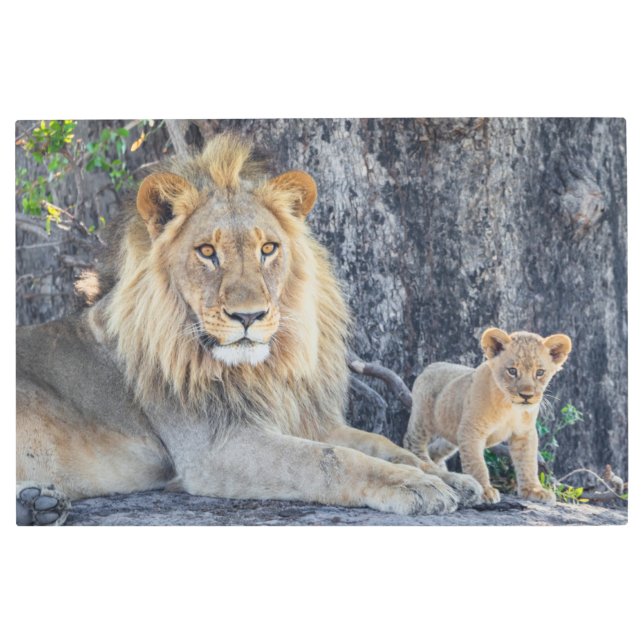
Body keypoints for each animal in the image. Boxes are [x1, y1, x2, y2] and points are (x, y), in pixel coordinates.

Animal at [16, 133, 482, 525]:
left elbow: (380, 444)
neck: (263, 371)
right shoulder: (215, 448)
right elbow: (331, 459)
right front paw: (416, 486)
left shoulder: (304, 419)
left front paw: (450, 478)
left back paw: (37, 504)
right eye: (207, 252)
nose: (248, 317)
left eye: (268, 248)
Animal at [403, 328, 572, 504]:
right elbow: (477, 464)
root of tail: (430, 366)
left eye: (540, 372)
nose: (526, 396)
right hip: (423, 419)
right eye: (512, 371)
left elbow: (528, 463)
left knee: (436, 448)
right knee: (411, 441)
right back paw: (426, 463)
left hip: (452, 431)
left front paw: (533, 490)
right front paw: (484, 490)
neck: (510, 407)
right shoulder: (471, 430)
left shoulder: (524, 433)